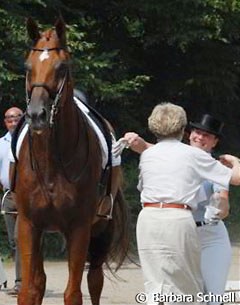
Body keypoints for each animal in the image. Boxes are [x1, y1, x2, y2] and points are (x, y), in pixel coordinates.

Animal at [12, 17, 129, 304]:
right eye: (28, 66)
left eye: (61, 67)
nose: (36, 115)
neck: (51, 163)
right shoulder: (28, 225)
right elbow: (29, 290)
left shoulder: (79, 228)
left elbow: (74, 293)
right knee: (40, 282)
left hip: (101, 231)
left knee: (95, 279)